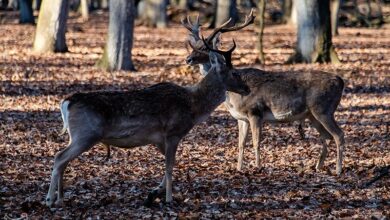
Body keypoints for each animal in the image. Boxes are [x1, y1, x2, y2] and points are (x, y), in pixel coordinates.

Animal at [44, 47, 248, 207]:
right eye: (235, 73)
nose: (247, 89)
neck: (193, 107)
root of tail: (67, 102)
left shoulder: (158, 140)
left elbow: (170, 165)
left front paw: (154, 194)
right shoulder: (173, 133)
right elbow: (169, 166)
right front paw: (168, 199)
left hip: (77, 136)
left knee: (63, 161)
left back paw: (60, 199)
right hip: (85, 135)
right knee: (59, 157)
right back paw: (49, 200)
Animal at [182, 13, 344, 175]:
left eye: (204, 47)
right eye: (194, 45)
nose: (188, 59)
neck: (232, 98)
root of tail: (341, 81)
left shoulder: (255, 112)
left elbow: (256, 142)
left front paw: (258, 167)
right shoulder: (241, 118)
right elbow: (241, 144)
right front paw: (239, 168)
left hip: (323, 109)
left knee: (339, 135)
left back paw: (338, 170)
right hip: (312, 114)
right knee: (326, 136)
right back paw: (318, 166)